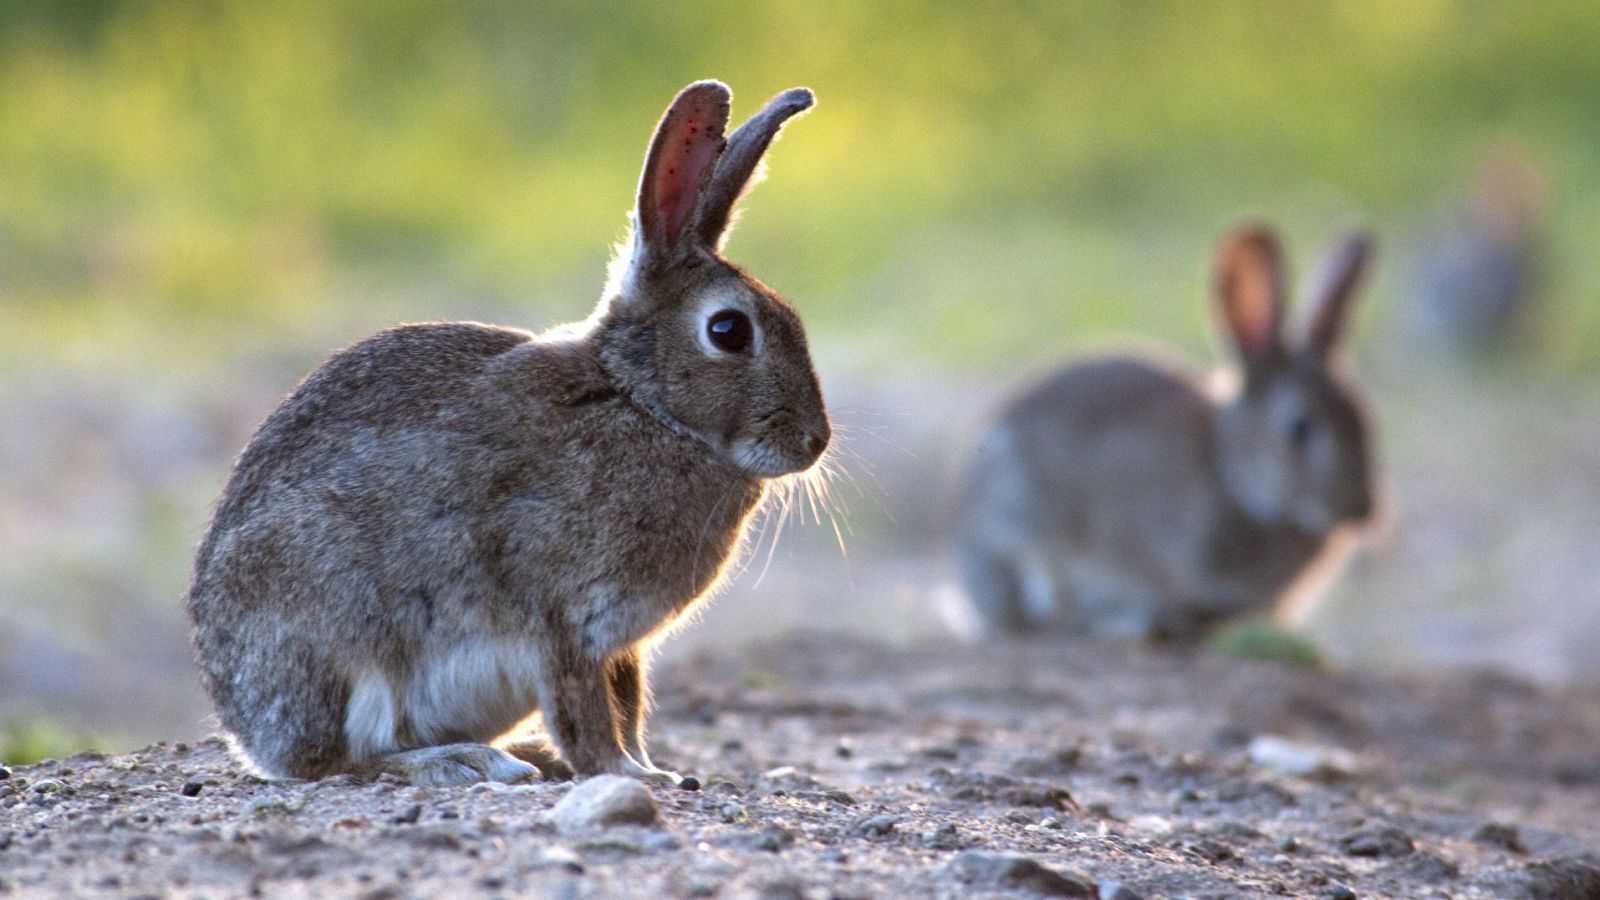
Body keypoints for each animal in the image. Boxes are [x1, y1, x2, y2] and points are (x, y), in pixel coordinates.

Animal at [190, 82, 825, 784]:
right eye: (728, 331)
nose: (814, 442)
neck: (644, 404)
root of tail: (245, 728)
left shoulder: (621, 645)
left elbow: (628, 703)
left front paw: (648, 768)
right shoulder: (562, 620)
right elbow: (585, 713)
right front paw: (627, 774)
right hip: (340, 635)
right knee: (340, 760)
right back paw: (467, 760)